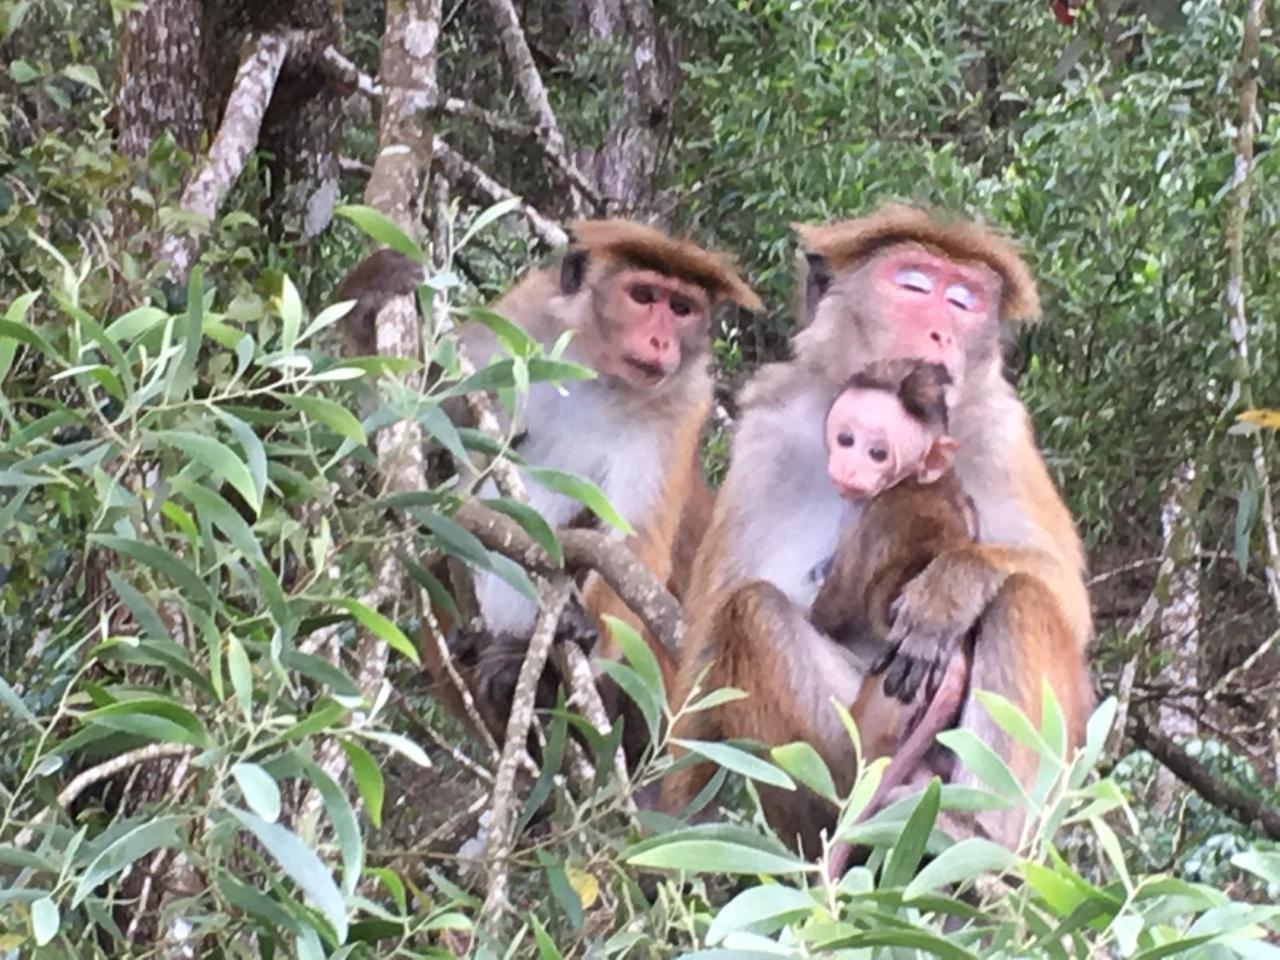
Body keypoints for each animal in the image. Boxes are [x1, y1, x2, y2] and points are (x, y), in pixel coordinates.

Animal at [808, 358, 977, 870]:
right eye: (846, 439)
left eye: (878, 452)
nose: (851, 465)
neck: (920, 478)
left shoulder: (874, 520)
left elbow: (835, 607)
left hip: (890, 698)